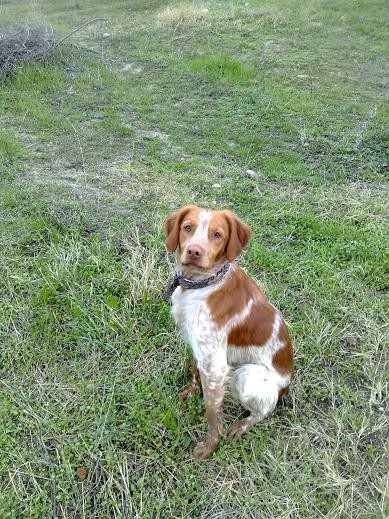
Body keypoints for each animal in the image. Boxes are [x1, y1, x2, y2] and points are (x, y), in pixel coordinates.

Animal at [162, 206, 292, 460]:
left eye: (217, 235)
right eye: (188, 228)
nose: (194, 251)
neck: (203, 284)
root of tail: (287, 385)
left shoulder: (215, 367)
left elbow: (212, 413)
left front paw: (209, 448)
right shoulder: (200, 349)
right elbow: (195, 372)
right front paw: (190, 394)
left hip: (247, 376)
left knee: (265, 410)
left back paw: (242, 425)